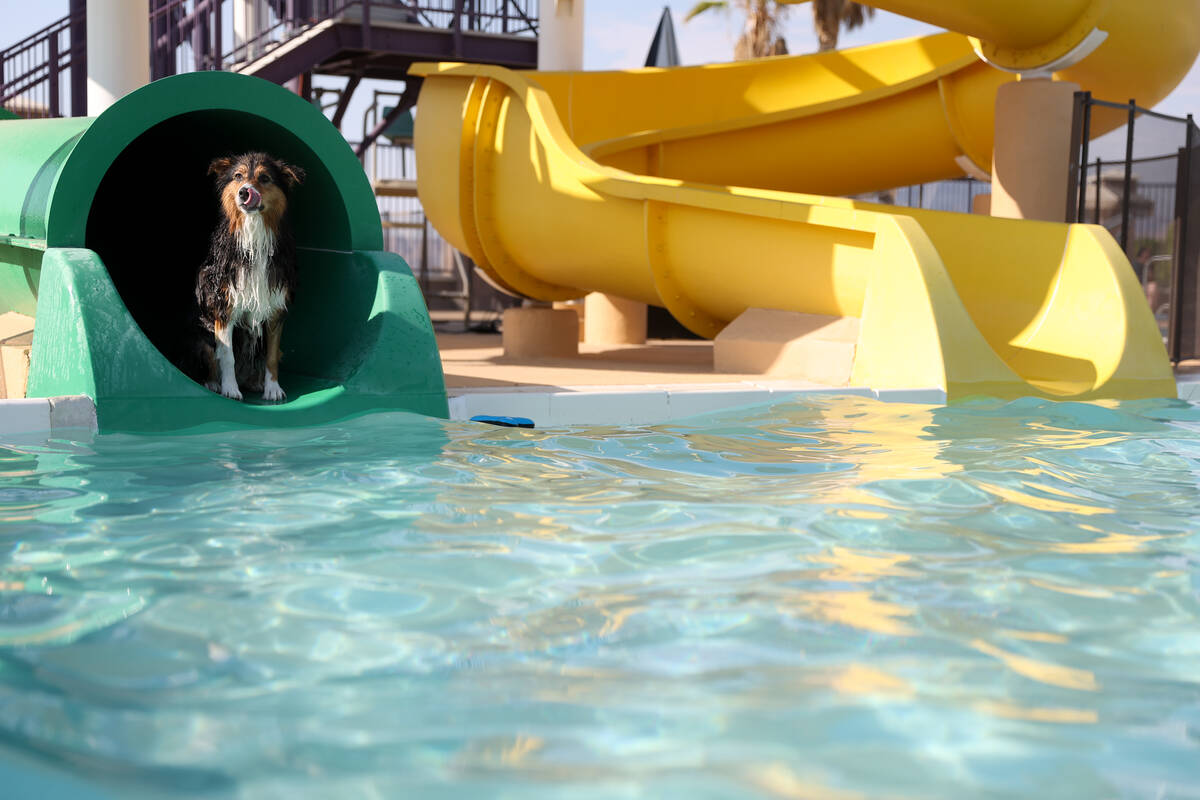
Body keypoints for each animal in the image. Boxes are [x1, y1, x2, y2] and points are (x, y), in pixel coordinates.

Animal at [190, 151, 304, 400]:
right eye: (238, 176)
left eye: (264, 178)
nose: (244, 191)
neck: (254, 234)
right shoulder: (224, 307)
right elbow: (226, 355)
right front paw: (230, 389)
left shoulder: (275, 308)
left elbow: (271, 355)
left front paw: (273, 389)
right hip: (202, 334)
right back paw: (213, 384)